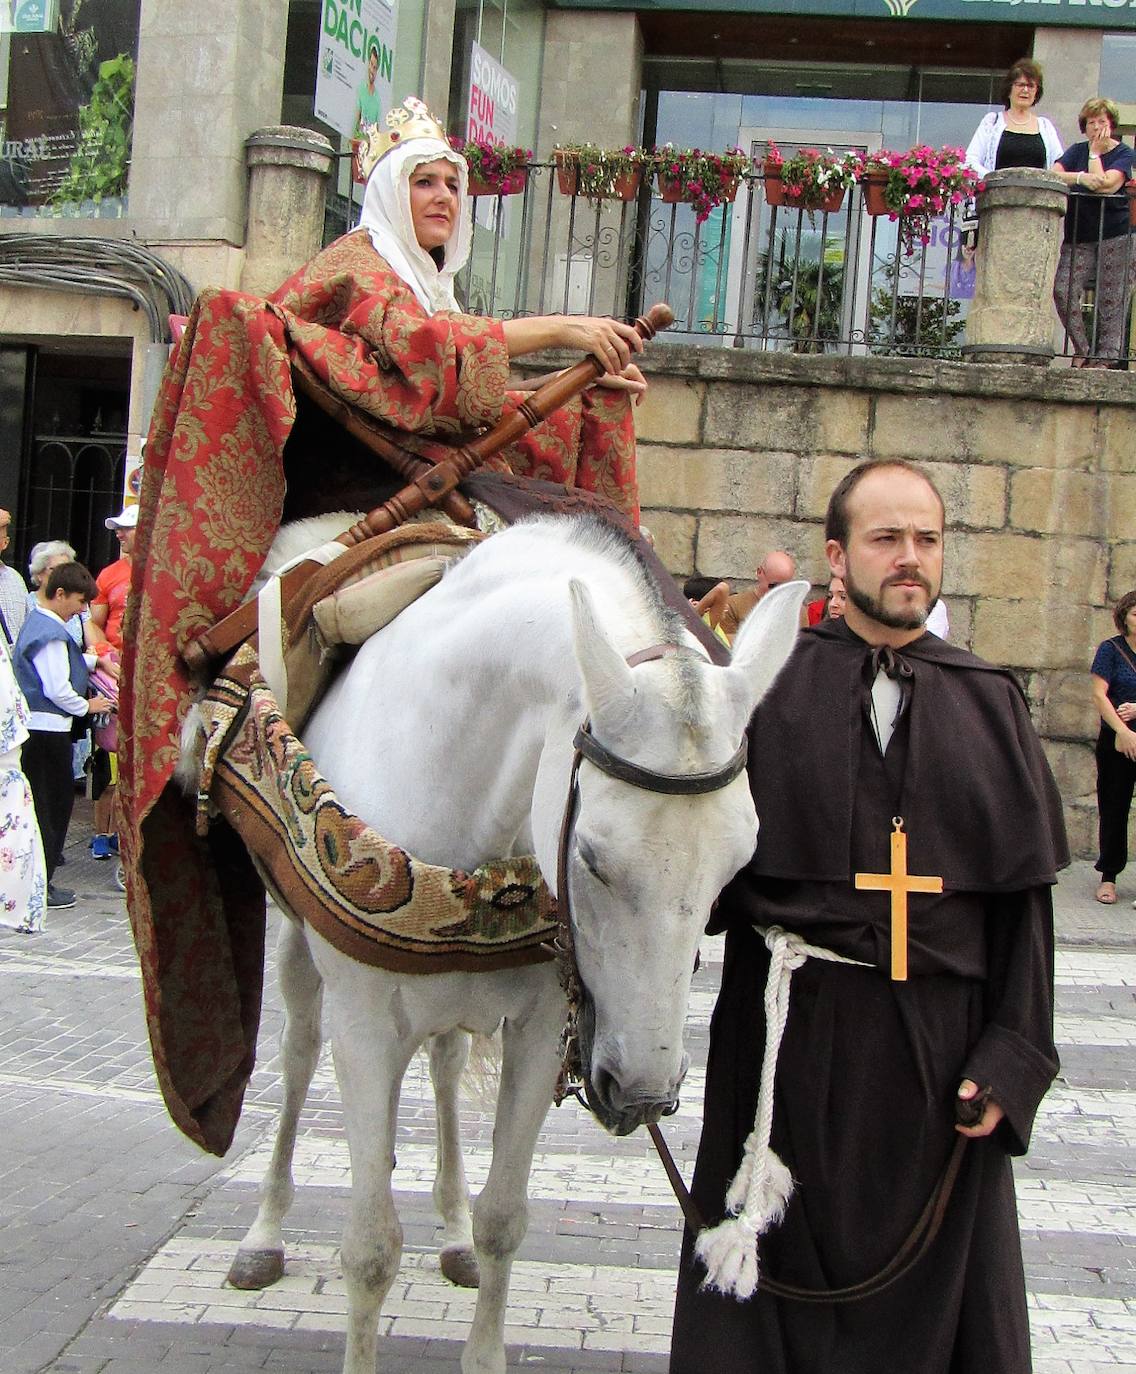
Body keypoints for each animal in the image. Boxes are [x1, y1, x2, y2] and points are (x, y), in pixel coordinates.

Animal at [226, 516, 802, 1374]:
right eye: (591, 857)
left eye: (735, 870)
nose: (643, 1095)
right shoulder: (363, 1028)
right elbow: (369, 1247)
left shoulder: (539, 1033)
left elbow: (505, 1218)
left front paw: (478, 1265)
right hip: (300, 955)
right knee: (297, 1060)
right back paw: (263, 1233)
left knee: (444, 1065)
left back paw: (451, 1228)